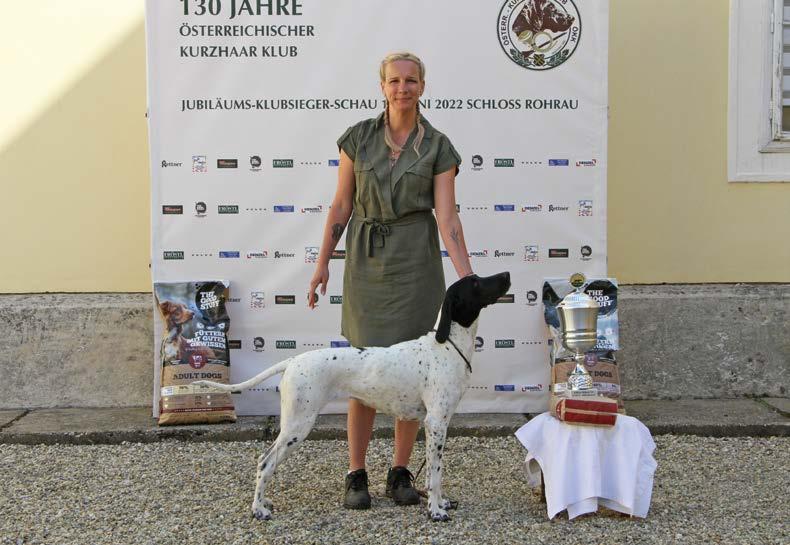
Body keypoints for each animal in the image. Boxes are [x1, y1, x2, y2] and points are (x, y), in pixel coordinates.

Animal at [194, 272, 511, 522]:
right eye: (476, 282)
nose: (506, 274)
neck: (446, 346)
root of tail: (293, 360)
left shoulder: (439, 423)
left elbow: (438, 473)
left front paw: (442, 502)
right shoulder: (435, 424)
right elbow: (435, 473)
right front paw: (435, 510)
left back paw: (264, 502)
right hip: (297, 425)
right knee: (264, 462)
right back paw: (258, 509)